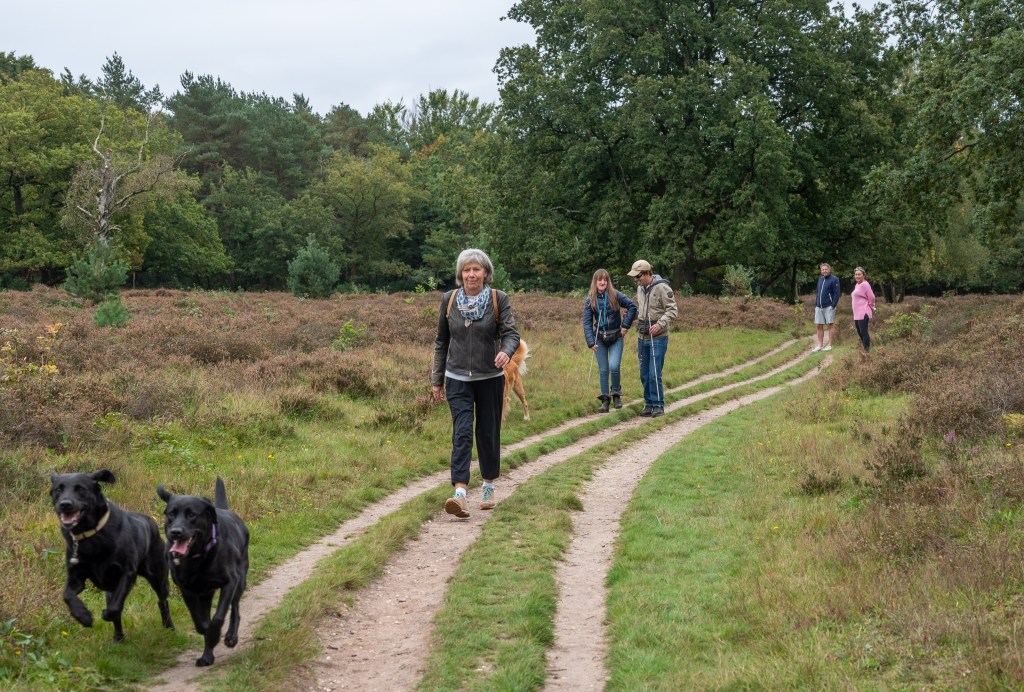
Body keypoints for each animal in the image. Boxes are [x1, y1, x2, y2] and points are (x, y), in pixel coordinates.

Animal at [50, 469, 174, 642]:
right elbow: (67, 596)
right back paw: (118, 637)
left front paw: (105, 614)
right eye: (58, 489)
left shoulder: (126, 572)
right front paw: (83, 616)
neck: (91, 535)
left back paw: (169, 626)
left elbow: (115, 608)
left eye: (81, 489)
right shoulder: (76, 578)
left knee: (162, 601)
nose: (65, 504)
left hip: (158, 577)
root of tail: (151, 522)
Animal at [157, 477, 250, 667]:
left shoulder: (230, 582)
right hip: (206, 593)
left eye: (192, 514)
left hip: (240, 580)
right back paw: (207, 656)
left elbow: (218, 617)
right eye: (171, 514)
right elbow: (200, 621)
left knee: (235, 609)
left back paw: (231, 636)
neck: (197, 556)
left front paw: (214, 636)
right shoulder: (187, 589)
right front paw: (208, 639)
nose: (175, 532)